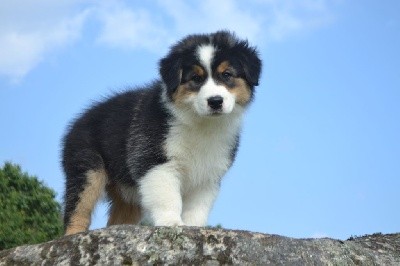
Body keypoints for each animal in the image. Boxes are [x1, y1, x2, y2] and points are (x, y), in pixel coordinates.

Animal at [61, 31, 262, 235]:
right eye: (196, 78)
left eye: (227, 74)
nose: (215, 101)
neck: (200, 122)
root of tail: (76, 122)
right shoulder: (154, 160)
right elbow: (167, 197)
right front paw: (171, 222)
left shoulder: (208, 174)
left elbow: (197, 207)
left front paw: (194, 227)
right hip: (86, 167)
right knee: (78, 209)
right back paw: (73, 234)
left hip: (128, 191)